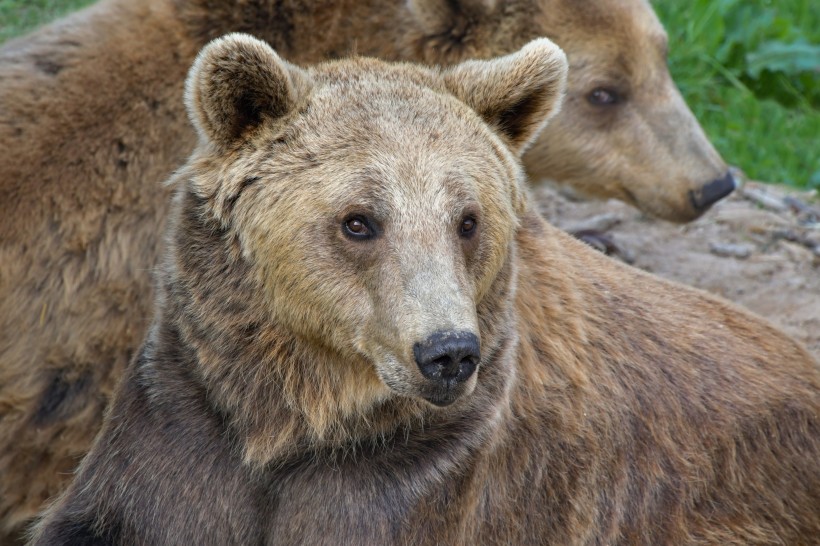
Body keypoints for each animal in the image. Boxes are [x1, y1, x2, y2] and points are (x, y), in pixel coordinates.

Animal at [28, 34, 816, 544]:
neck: (294, 412)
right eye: (358, 221)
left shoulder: (423, 479)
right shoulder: (182, 428)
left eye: (468, 219)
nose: (448, 353)